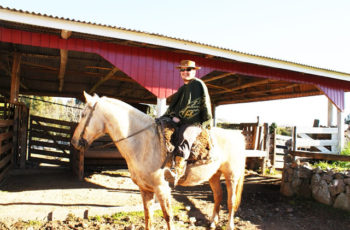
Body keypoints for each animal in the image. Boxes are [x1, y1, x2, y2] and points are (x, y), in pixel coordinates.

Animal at [71, 92, 246, 230]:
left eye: (83, 115)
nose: (74, 142)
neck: (144, 142)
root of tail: (237, 135)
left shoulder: (162, 188)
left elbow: (167, 217)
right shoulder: (145, 189)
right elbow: (148, 216)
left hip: (231, 176)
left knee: (230, 201)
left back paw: (229, 225)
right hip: (214, 175)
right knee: (218, 196)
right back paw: (212, 223)